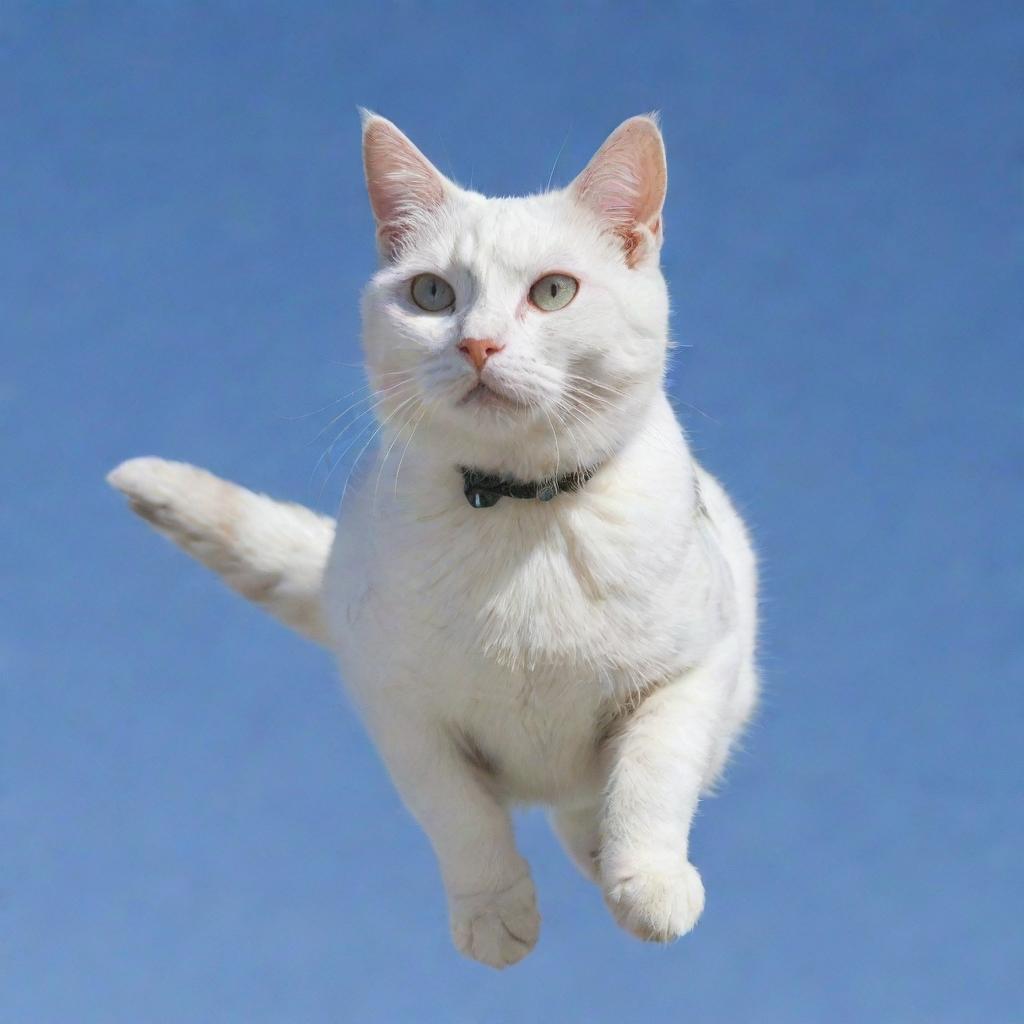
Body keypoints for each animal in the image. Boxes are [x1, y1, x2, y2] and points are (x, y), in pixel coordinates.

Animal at [108, 112, 757, 966]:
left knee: (592, 800)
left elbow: (655, 772)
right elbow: (460, 815)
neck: (521, 515)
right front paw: (495, 912)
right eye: (431, 293)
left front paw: (647, 879)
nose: (477, 344)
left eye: (553, 291)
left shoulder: (696, 666)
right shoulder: (399, 706)